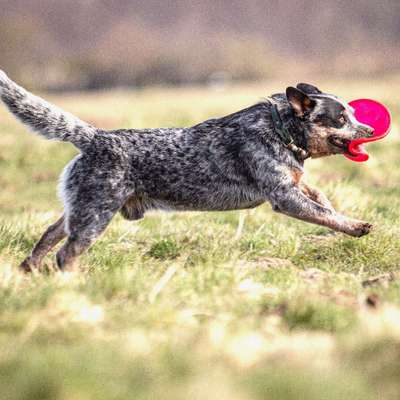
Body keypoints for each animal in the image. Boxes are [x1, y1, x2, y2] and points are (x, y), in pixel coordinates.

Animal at [0, 69, 376, 272]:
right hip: (96, 214)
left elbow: (320, 199)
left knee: (49, 235)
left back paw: (29, 271)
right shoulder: (284, 197)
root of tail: (95, 136)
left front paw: (335, 209)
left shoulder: (295, 184)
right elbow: (322, 214)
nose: (371, 129)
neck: (280, 130)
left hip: (79, 208)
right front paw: (356, 226)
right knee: (67, 253)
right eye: (342, 118)